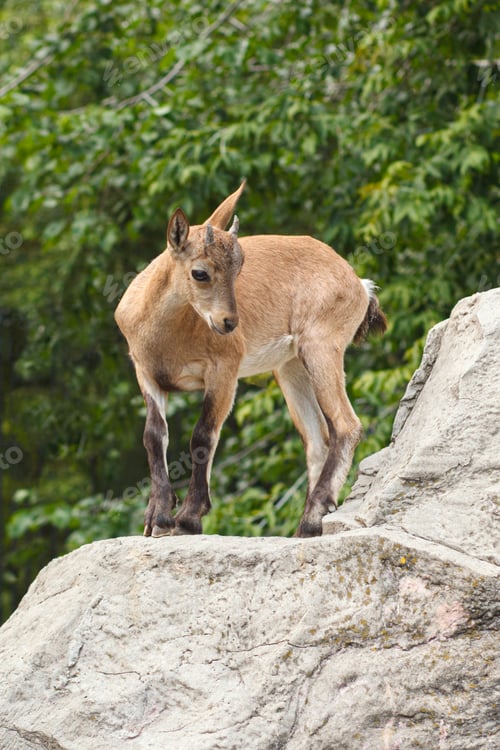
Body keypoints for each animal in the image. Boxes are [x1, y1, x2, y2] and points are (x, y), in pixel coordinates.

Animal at [115, 182, 387, 537]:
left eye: (239, 268)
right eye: (199, 273)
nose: (229, 323)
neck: (166, 336)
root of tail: (359, 284)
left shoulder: (224, 370)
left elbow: (203, 435)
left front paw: (187, 519)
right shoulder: (146, 373)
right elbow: (153, 435)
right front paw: (157, 519)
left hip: (321, 346)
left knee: (346, 425)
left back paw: (312, 517)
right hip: (290, 366)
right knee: (317, 440)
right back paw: (305, 529)